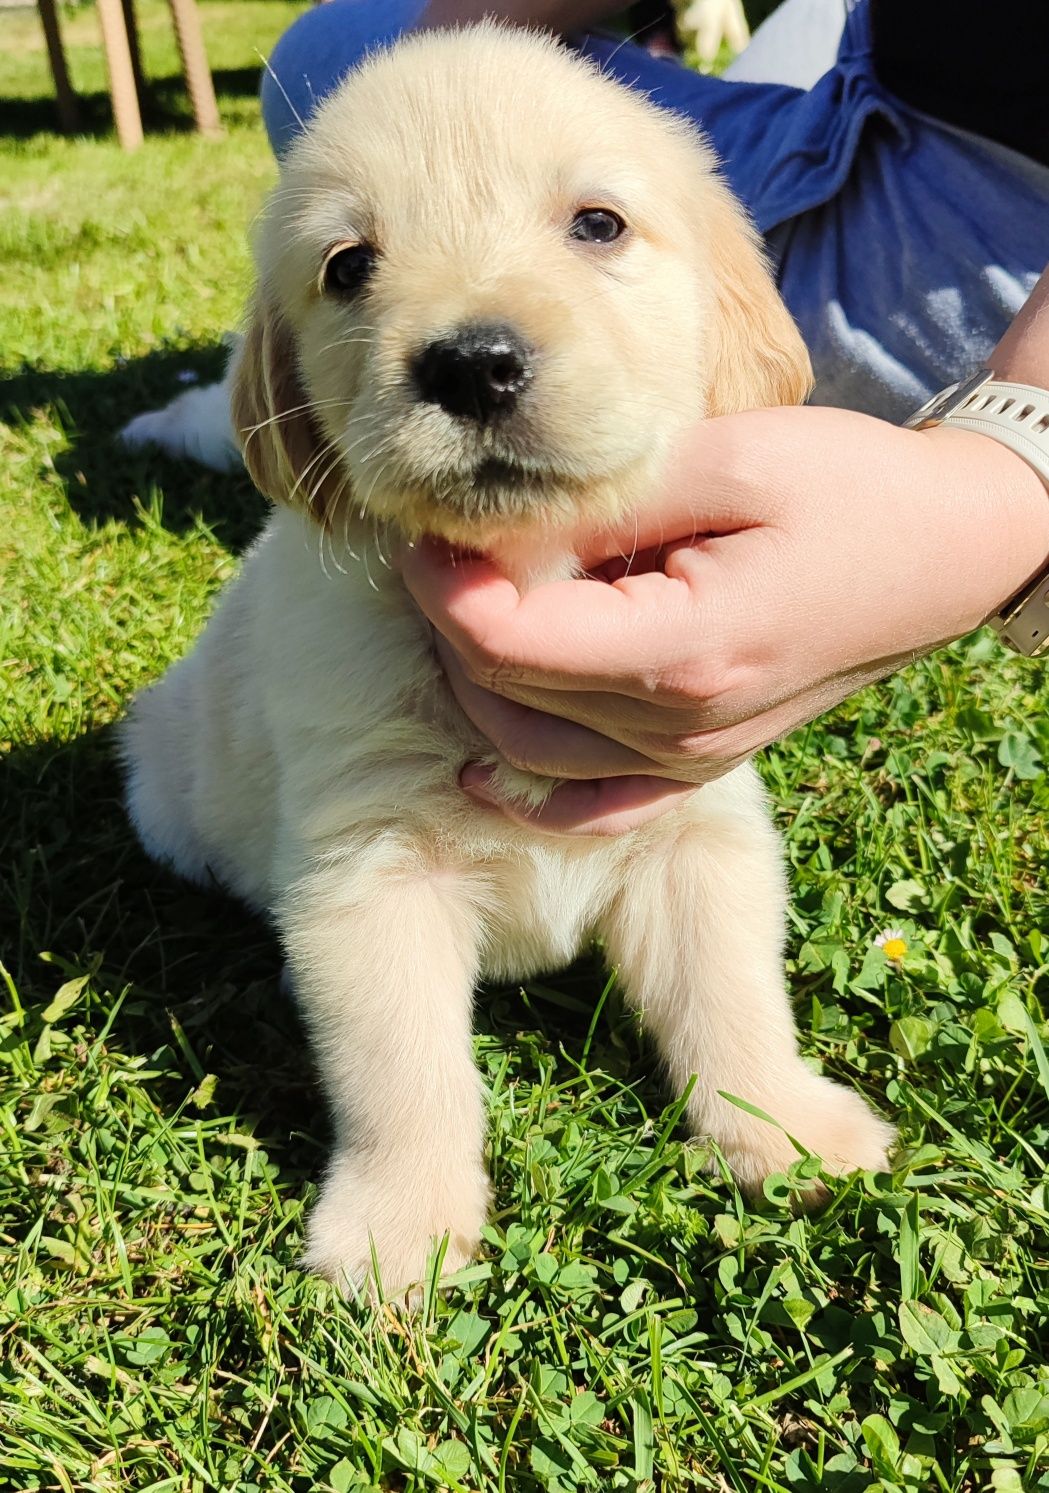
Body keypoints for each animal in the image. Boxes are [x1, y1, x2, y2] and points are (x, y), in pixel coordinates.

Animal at [123, 20, 895, 1295]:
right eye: (348, 265)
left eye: (597, 224)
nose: (472, 363)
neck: (529, 567)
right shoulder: (369, 871)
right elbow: (404, 1076)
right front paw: (394, 1232)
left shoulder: (697, 835)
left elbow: (733, 999)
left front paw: (785, 1129)